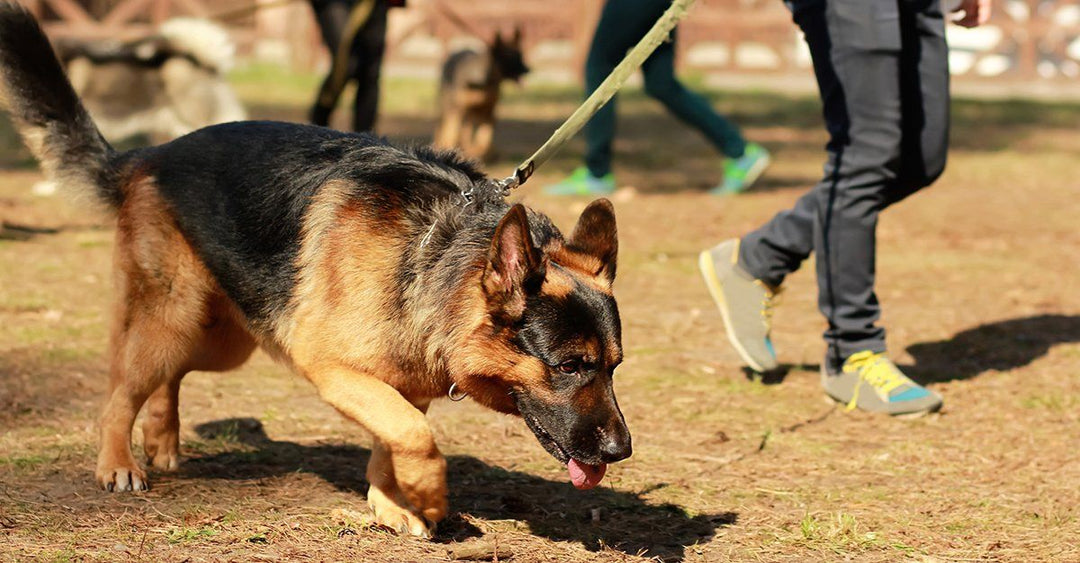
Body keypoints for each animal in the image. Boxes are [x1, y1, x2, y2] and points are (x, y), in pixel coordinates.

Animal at [432, 29, 529, 158]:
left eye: (520, 55)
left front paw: (482, 150)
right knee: (445, 128)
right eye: (510, 57)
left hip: (470, 112)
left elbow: (485, 133)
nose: (528, 69)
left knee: (466, 130)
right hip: (448, 106)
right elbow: (453, 131)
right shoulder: (458, 109)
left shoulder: (489, 109)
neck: (483, 81)